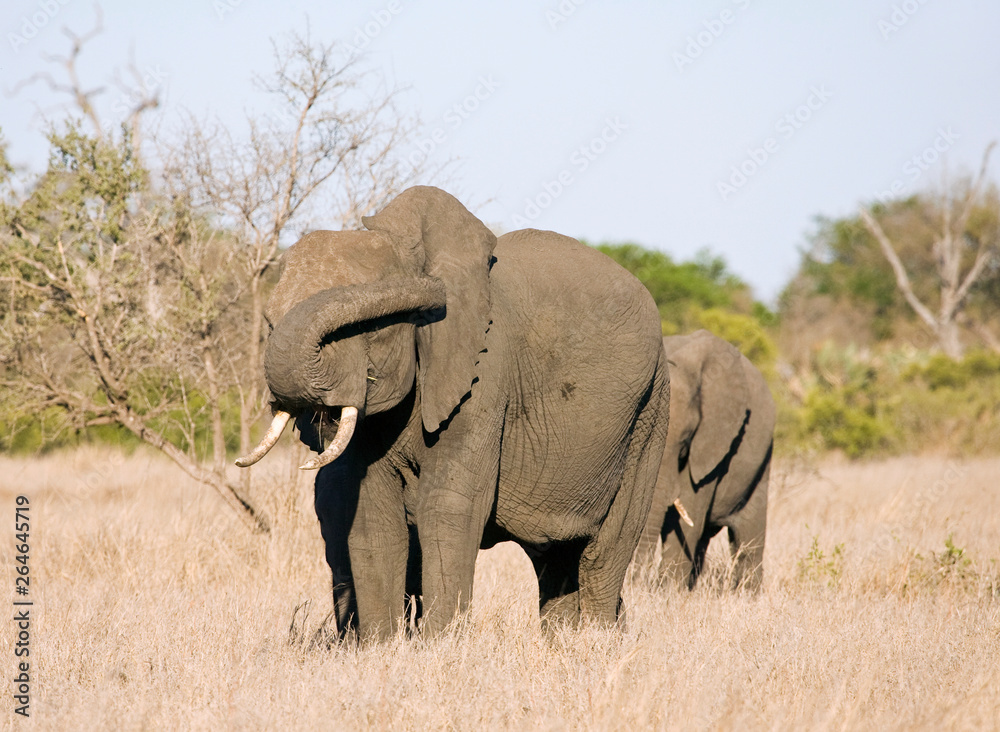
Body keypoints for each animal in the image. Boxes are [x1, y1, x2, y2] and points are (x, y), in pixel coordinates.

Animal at [636, 330, 776, 588]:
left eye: (685, 442)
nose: (635, 583)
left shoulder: (711, 448)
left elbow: (689, 512)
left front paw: (667, 591)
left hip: (763, 458)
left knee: (747, 539)